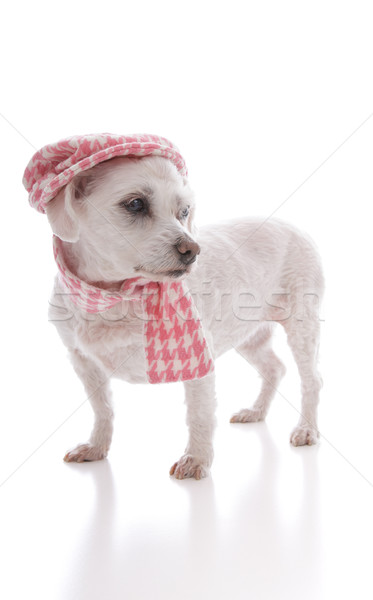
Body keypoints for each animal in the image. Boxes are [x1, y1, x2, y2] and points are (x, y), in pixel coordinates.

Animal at [40, 152, 322, 480]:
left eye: (184, 211)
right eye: (135, 203)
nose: (193, 250)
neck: (114, 298)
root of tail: (294, 226)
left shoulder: (199, 359)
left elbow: (199, 414)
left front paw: (196, 459)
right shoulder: (83, 361)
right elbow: (103, 408)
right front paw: (96, 446)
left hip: (302, 328)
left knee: (312, 379)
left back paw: (307, 428)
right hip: (247, 336)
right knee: (275, 368)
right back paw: (256, 411)